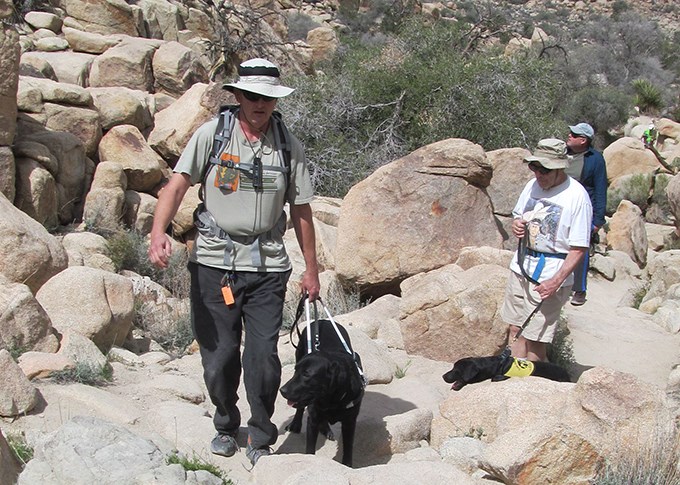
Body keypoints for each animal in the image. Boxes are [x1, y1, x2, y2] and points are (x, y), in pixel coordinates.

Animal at [278, 318, 364, 466]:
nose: (282, 390)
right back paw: (296, 424)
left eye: (306, 374)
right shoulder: (313, 419)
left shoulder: (350, 421)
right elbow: (310, 449)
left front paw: (347, 465)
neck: (332, 400)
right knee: (301, 409)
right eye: (295, 370)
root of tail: (322, 320)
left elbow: (348, 448)